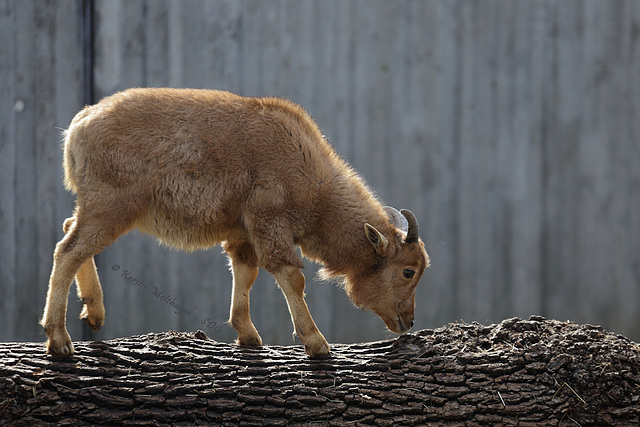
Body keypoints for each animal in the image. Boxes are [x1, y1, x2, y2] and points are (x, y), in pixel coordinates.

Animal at [41, 88, 430, 360]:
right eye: (408, 271)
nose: (407, 322)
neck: (313, 176)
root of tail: (80, 124)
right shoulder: (270, 223)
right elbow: (291, 276)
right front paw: (318, 345)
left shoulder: (244, 236)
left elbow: (246, 272)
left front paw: (249, 337)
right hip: (111, 208)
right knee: (68, 250)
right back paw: (59, 340)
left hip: (98, 209)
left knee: (70, 232)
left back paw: (93, 315)